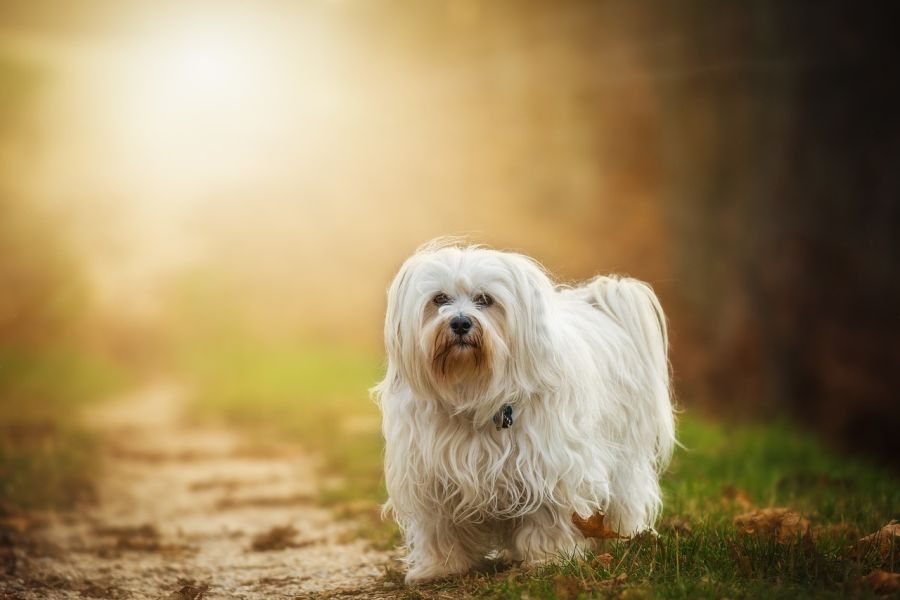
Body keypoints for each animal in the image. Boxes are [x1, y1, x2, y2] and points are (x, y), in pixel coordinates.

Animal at [372, 241, 676, 584]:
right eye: (439, 299)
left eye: (485, 300)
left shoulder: (548, 468)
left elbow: (548, 517)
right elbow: (439, 527)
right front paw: (440, 567)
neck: (472, 389)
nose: (461, 323)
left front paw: (549, 559)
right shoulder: (431, 475)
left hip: (624, 457)